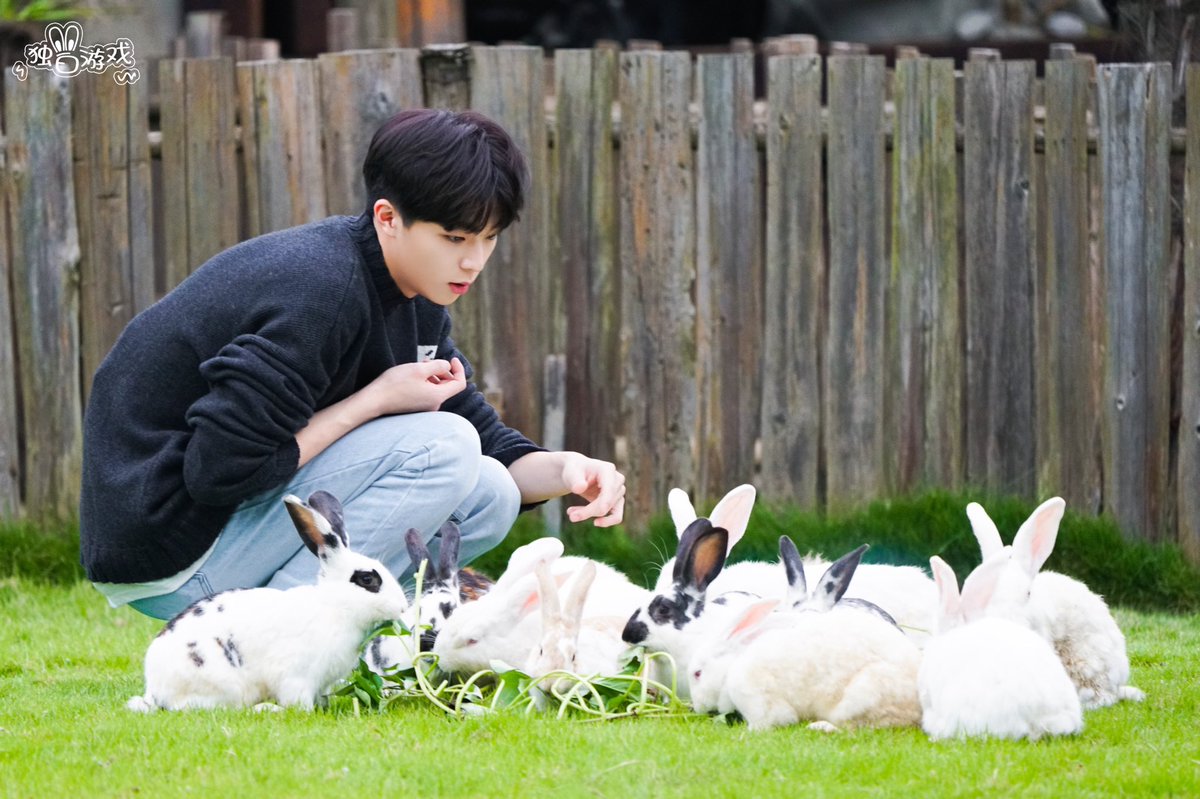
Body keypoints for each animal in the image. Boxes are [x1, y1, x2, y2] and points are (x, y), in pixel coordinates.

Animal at [127, 490, 410, 712]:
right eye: (367, 580)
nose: (402, 607)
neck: (335, 607)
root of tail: (155, 691)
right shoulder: (297, 677)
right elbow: (298, 704)